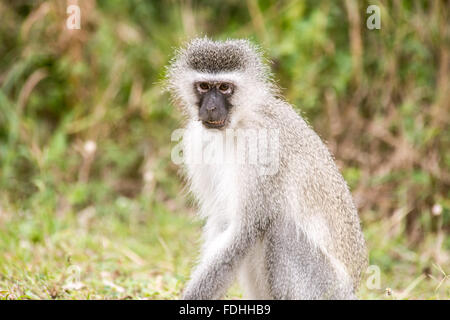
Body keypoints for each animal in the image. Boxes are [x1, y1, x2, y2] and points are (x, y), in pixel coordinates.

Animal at [165, 37, 366, 300]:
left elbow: (245, 230)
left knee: (282, 230)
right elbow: (222, 221)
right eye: (204, 86)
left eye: (224, 88)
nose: (210, 108)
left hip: (327, 288)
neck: (238, 125)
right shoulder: (196, 142)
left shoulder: (263, 148)